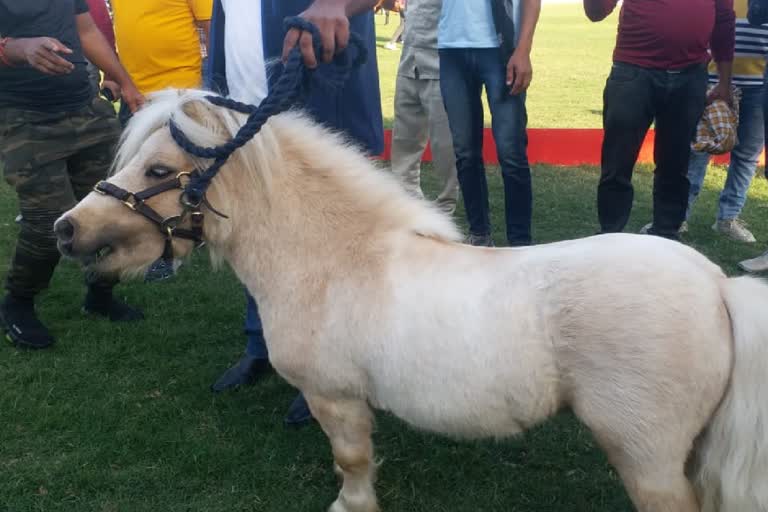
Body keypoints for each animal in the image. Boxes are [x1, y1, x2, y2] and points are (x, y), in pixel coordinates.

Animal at [55, 90, 768, 510]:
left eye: (157, 170)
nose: (66, 228)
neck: (332, 258)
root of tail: (717, 287)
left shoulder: (335, 398)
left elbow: (351, 460)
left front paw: (352, 505)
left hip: (647, 460)